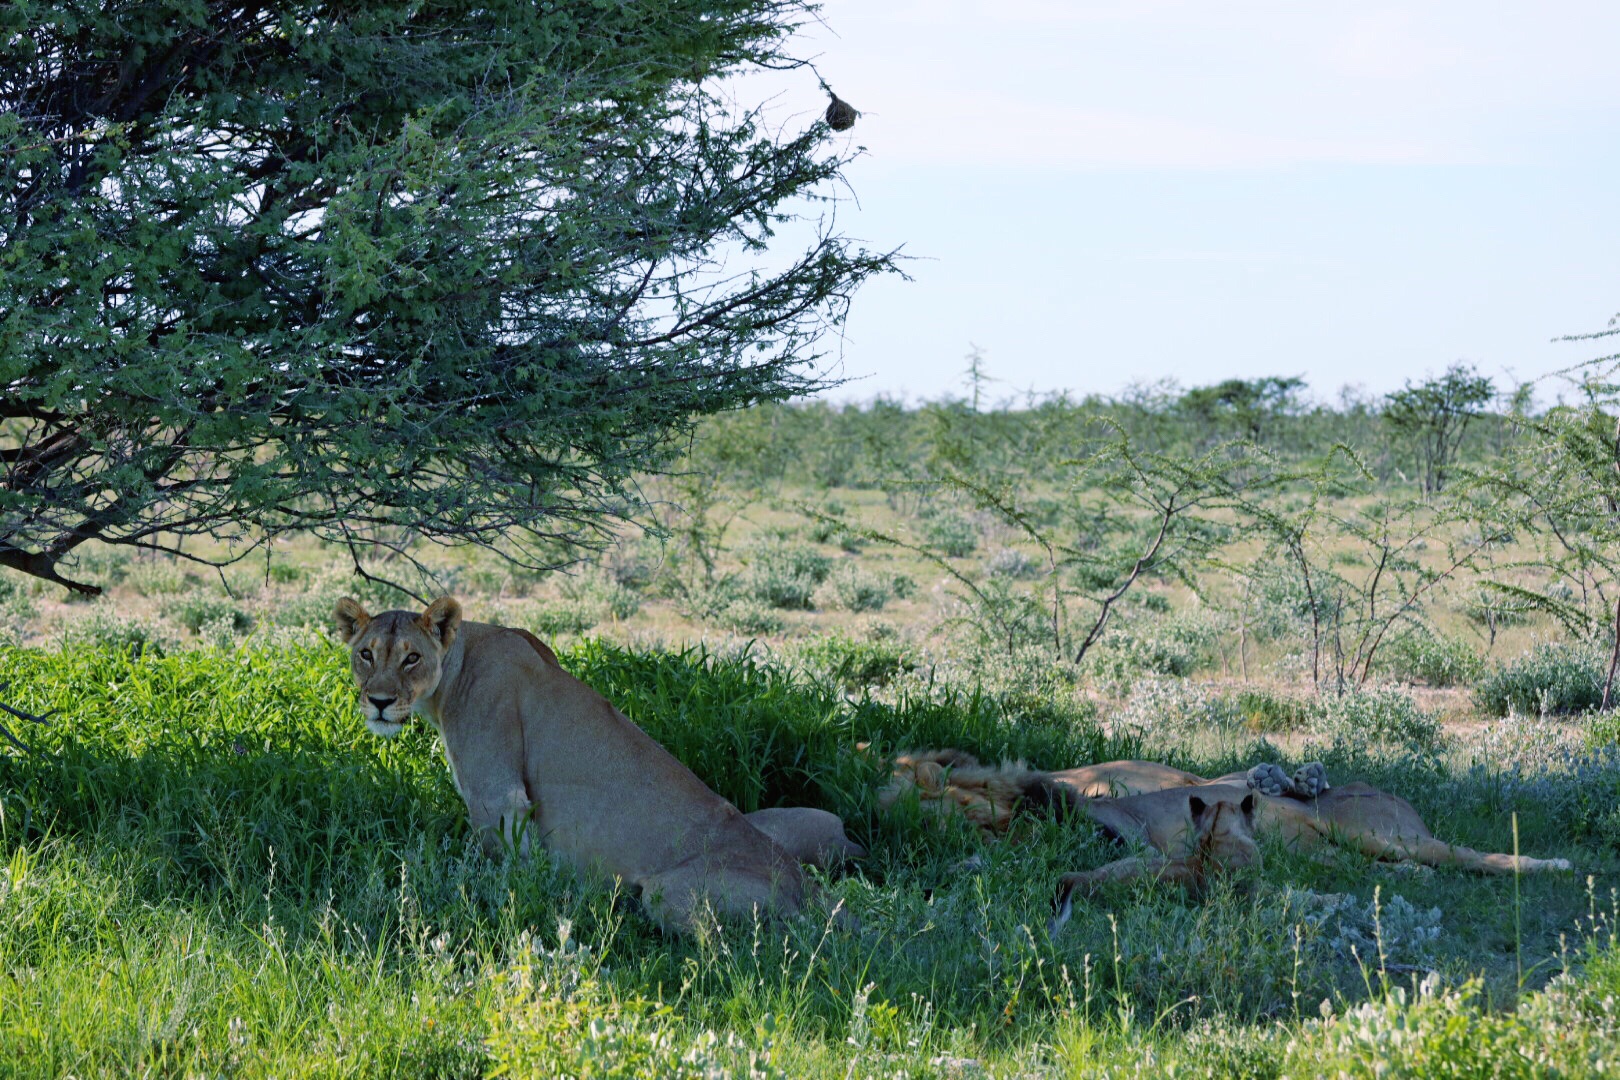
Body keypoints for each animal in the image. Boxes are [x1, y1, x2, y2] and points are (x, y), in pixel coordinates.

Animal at [332, 595, 861, 932]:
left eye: (411, 659)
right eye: (366, 654)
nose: (379, 701)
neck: (454, 670)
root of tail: (808, 890)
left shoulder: (498, 796)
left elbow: (507, 873)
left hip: (668, 896)